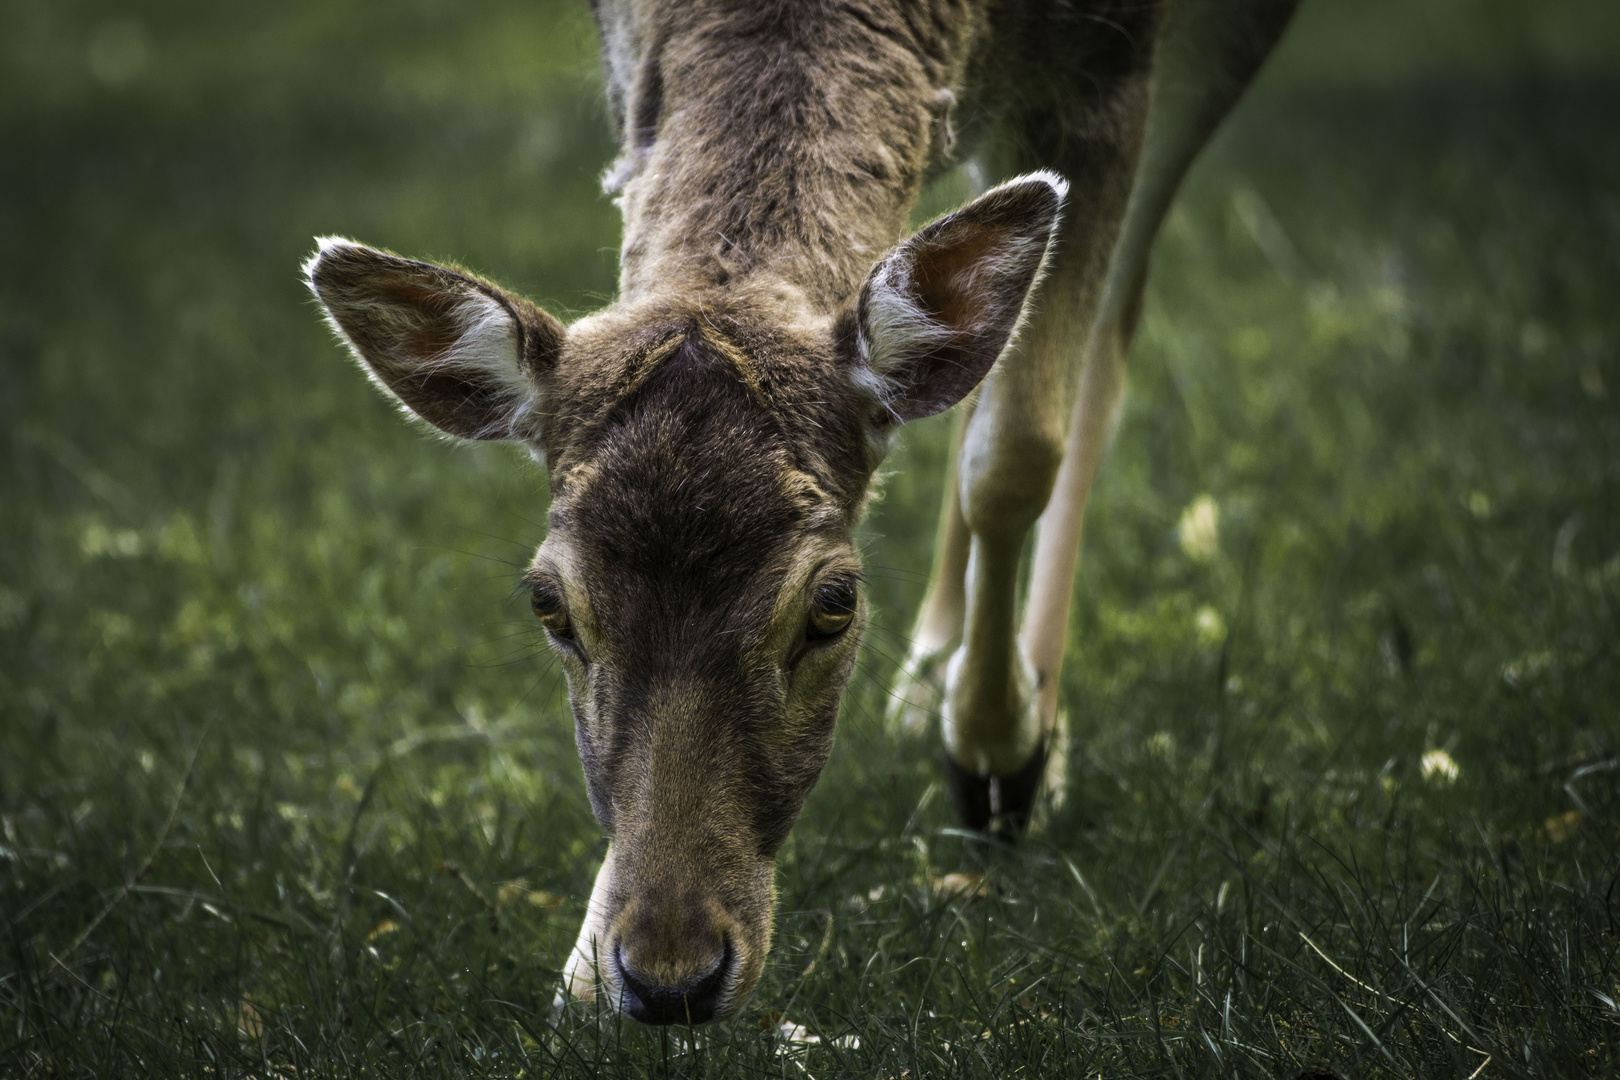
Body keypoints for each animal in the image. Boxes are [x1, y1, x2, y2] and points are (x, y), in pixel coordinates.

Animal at [304, 0, 1296, 1029]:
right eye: (548, 604)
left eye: (835, 604)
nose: (669, 979)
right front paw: (578, 970)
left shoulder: (1111, 70)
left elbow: (1020, 448)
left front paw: (1004, 758)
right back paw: (925, 679)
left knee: (1102, 329)